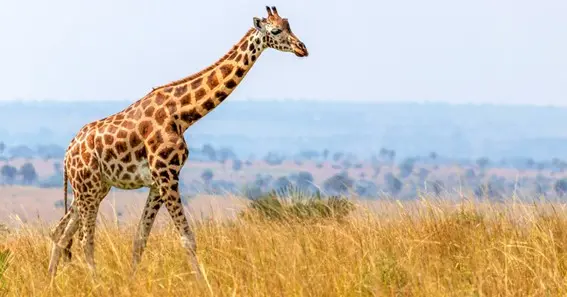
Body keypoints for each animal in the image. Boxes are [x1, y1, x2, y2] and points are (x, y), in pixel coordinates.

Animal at [46, 5, 308, 276]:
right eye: (275, 30)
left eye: (288, 25)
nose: (302, 48)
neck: (182, 114)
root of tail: (67, 153)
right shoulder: (167, 175)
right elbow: (187, 238)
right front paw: (203, 281)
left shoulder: (157, 182)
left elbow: (140, 238)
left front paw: (132, 279)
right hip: (87, 187)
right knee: (84, 238)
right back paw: (94, 280)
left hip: (94, 187)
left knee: (60, 232)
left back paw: (52, 279)